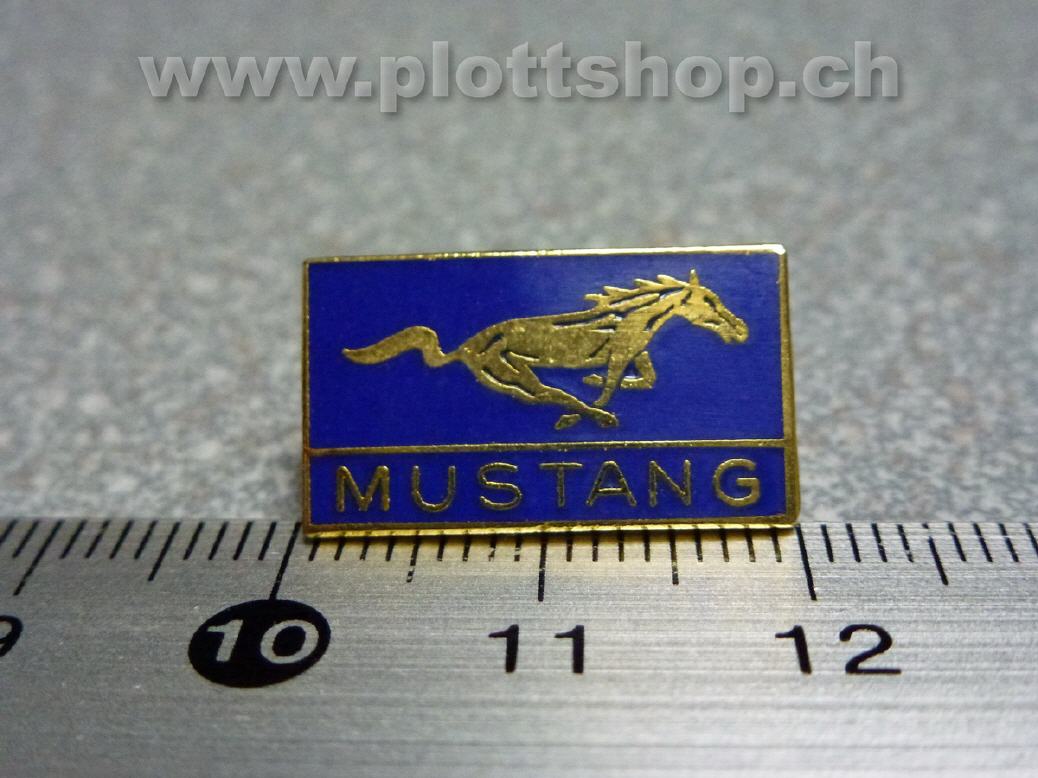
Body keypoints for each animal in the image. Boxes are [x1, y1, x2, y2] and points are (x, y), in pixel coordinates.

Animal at [342, 270, 748, 430]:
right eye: (710, 301)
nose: (742, 331)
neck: (635, 317)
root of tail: (465, 347)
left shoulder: (637, 354)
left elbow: (643, 380)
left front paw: (595, 380)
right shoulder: (620, 354)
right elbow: (610, 388)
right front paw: (598, 401)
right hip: (509, 370)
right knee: (548, 394)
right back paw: (587, 417)